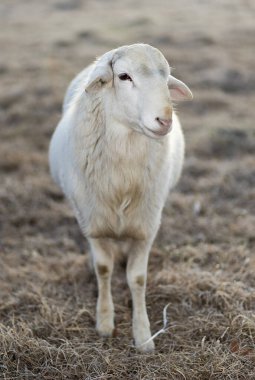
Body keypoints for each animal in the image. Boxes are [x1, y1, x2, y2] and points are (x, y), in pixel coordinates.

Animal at [47, 43, 192, 352]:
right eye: (124, 76)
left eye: (166, 78)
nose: (165, 120)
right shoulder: (92, 223)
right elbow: (103, 269)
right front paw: (104, 322)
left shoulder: (146, 226)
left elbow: (137, 279)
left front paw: (143, 334)